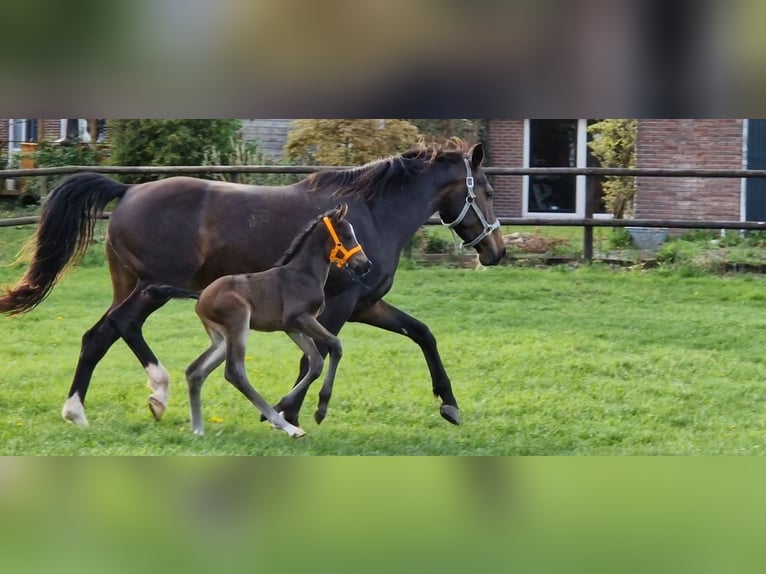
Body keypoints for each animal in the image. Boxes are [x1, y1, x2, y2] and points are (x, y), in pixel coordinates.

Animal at [146, 205, 372, 438]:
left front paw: (285, 406)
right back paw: (287, 427)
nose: (366, 264)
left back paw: (199, 429)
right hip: (239, 322)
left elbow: (316, 362)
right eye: (347, 236)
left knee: (195, 371)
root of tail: (201, 294)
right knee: (234, 372)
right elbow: (336, 345)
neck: (304, 274)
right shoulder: (299, 318)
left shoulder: (293, 328)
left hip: (221, 339)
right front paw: (319, 410)